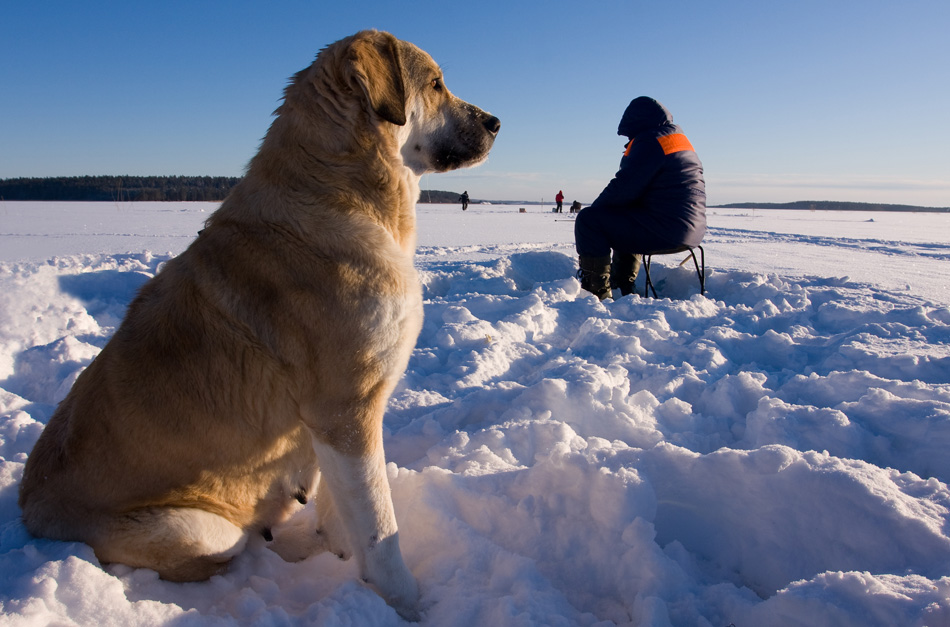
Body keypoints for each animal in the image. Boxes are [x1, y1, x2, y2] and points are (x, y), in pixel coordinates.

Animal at [18, 28, 502, 620]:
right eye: (435, 84)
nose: (495, 122)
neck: (339, 192)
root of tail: (27, 510)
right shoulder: (347, 412)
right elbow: (379, 530)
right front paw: (405, 605)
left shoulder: (339, 425)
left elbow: (344, 514)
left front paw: (340, 556)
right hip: (198, 529)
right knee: (228, 548)